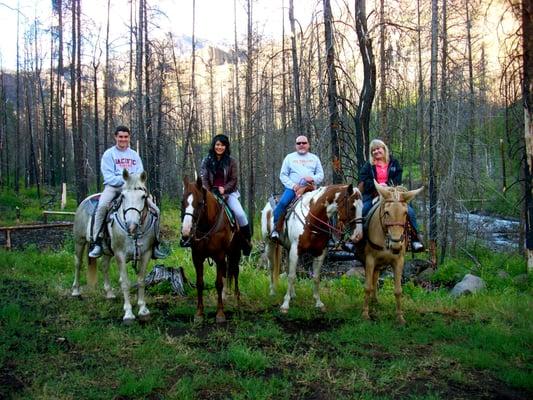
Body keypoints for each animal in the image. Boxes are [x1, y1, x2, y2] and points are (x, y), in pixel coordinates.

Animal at [71, 170, 157, 324]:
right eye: (123, 196)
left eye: (143, 196)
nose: (131, 225)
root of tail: (86, 199)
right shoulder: (120, 254)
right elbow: (125, 283)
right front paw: (128, 314)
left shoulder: (146, 254)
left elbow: (141, 280)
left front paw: (143, 310)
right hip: (79, 241)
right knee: (78, 263)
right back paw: (76, 291)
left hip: (107, 251)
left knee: (104, 266)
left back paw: (109, 293)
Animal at [181, 175, 243, 322]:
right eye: (182, 202)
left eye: (199, 203)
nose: (186, 232)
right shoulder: (197, 257)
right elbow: (199, 283)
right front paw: (199, 313)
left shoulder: (219, 255)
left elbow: (218, 283)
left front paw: (220, 314)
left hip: (234, 253)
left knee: (235, 272)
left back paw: (237, 301)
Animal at [260, 184, 364, 312]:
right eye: (352, 208)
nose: (358, 236)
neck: (311, 218)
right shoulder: (295, 250)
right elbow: (291, 276)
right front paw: (285, 304)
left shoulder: (320, 252)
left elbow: (315, 277)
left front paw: (318, 302)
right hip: (269, 243)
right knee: (272, 267)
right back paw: (272, 291)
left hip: (288, 248)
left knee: (288, 268)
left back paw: (293, 294)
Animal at [360, 181, 422, 324]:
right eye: (387, 212)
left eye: (405, 213)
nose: (396, 244)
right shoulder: (369, 259)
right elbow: (367, 287)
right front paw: (365, 314)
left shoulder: (399, 260)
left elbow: (398, 290)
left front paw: (400, 317)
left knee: (376, 278)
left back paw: (375, 301)